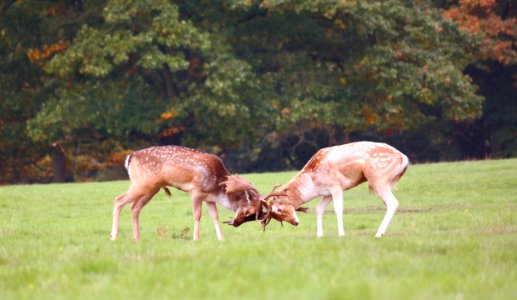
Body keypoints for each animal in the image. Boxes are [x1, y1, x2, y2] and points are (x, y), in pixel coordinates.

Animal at [109, 144, 262, 240]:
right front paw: (196, 239)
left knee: (134, 207)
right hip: (142, 183)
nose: (235, 223)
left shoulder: (209, 198)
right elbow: (197, 215)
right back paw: (113, 237)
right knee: (118, 200)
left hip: (151, 188)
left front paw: (221, 239)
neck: (217, 186)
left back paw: (136, 238)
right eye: (250, 211)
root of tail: (130, 158)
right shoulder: (196, 191)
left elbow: (215, 216)